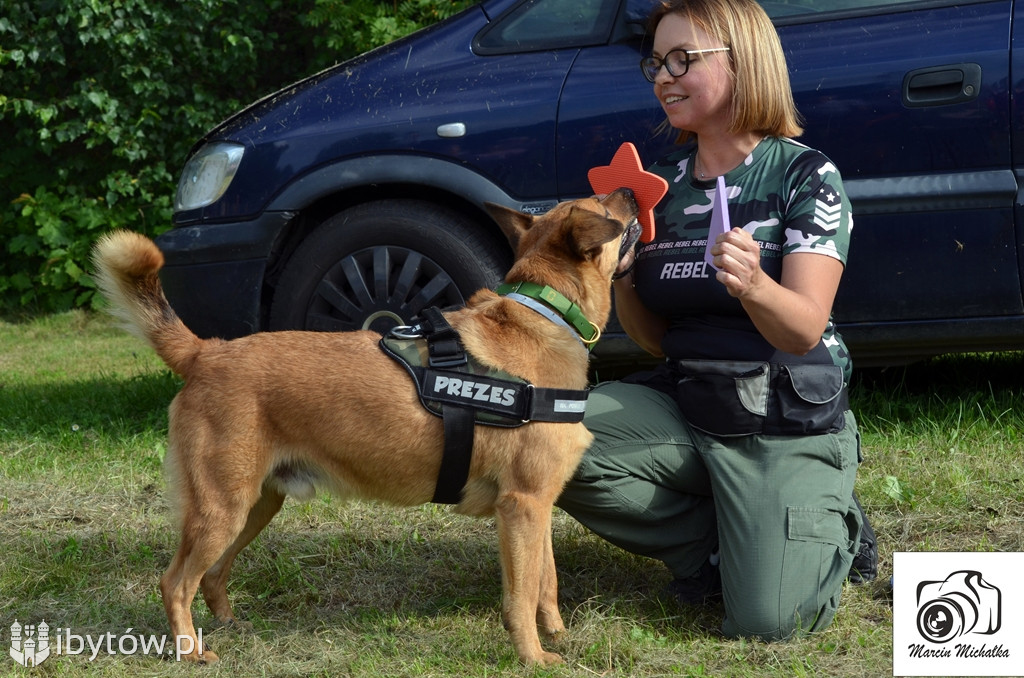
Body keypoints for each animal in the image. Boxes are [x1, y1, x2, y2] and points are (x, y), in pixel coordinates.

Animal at [94, 188, 638, 667]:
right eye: (604, 204)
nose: (633, 193)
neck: (548, 312)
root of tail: (205, 351)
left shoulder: (539, 506)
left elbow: (547, 583)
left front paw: (559, 636)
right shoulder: (522, 507)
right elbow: (522, 596)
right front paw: (533, 656)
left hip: (254, 506)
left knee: (210, 577)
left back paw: (229, 626)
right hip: (221, 509)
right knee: (175, 583)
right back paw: (192, 650)